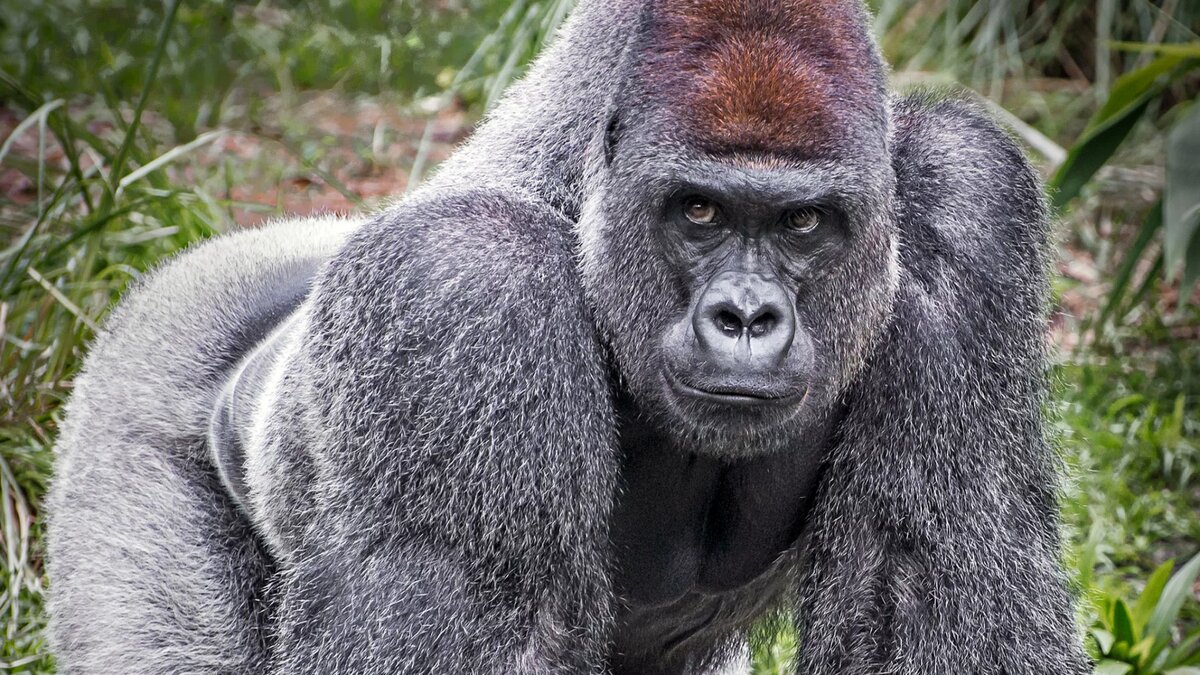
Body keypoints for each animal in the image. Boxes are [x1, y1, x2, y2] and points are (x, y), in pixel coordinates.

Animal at [46, 1, 1091, 673]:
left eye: (803, 224)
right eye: (699, 212)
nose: (746, 317)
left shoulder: (970, 199)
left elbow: (929, 604)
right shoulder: (466, 286)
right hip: (143, 377)